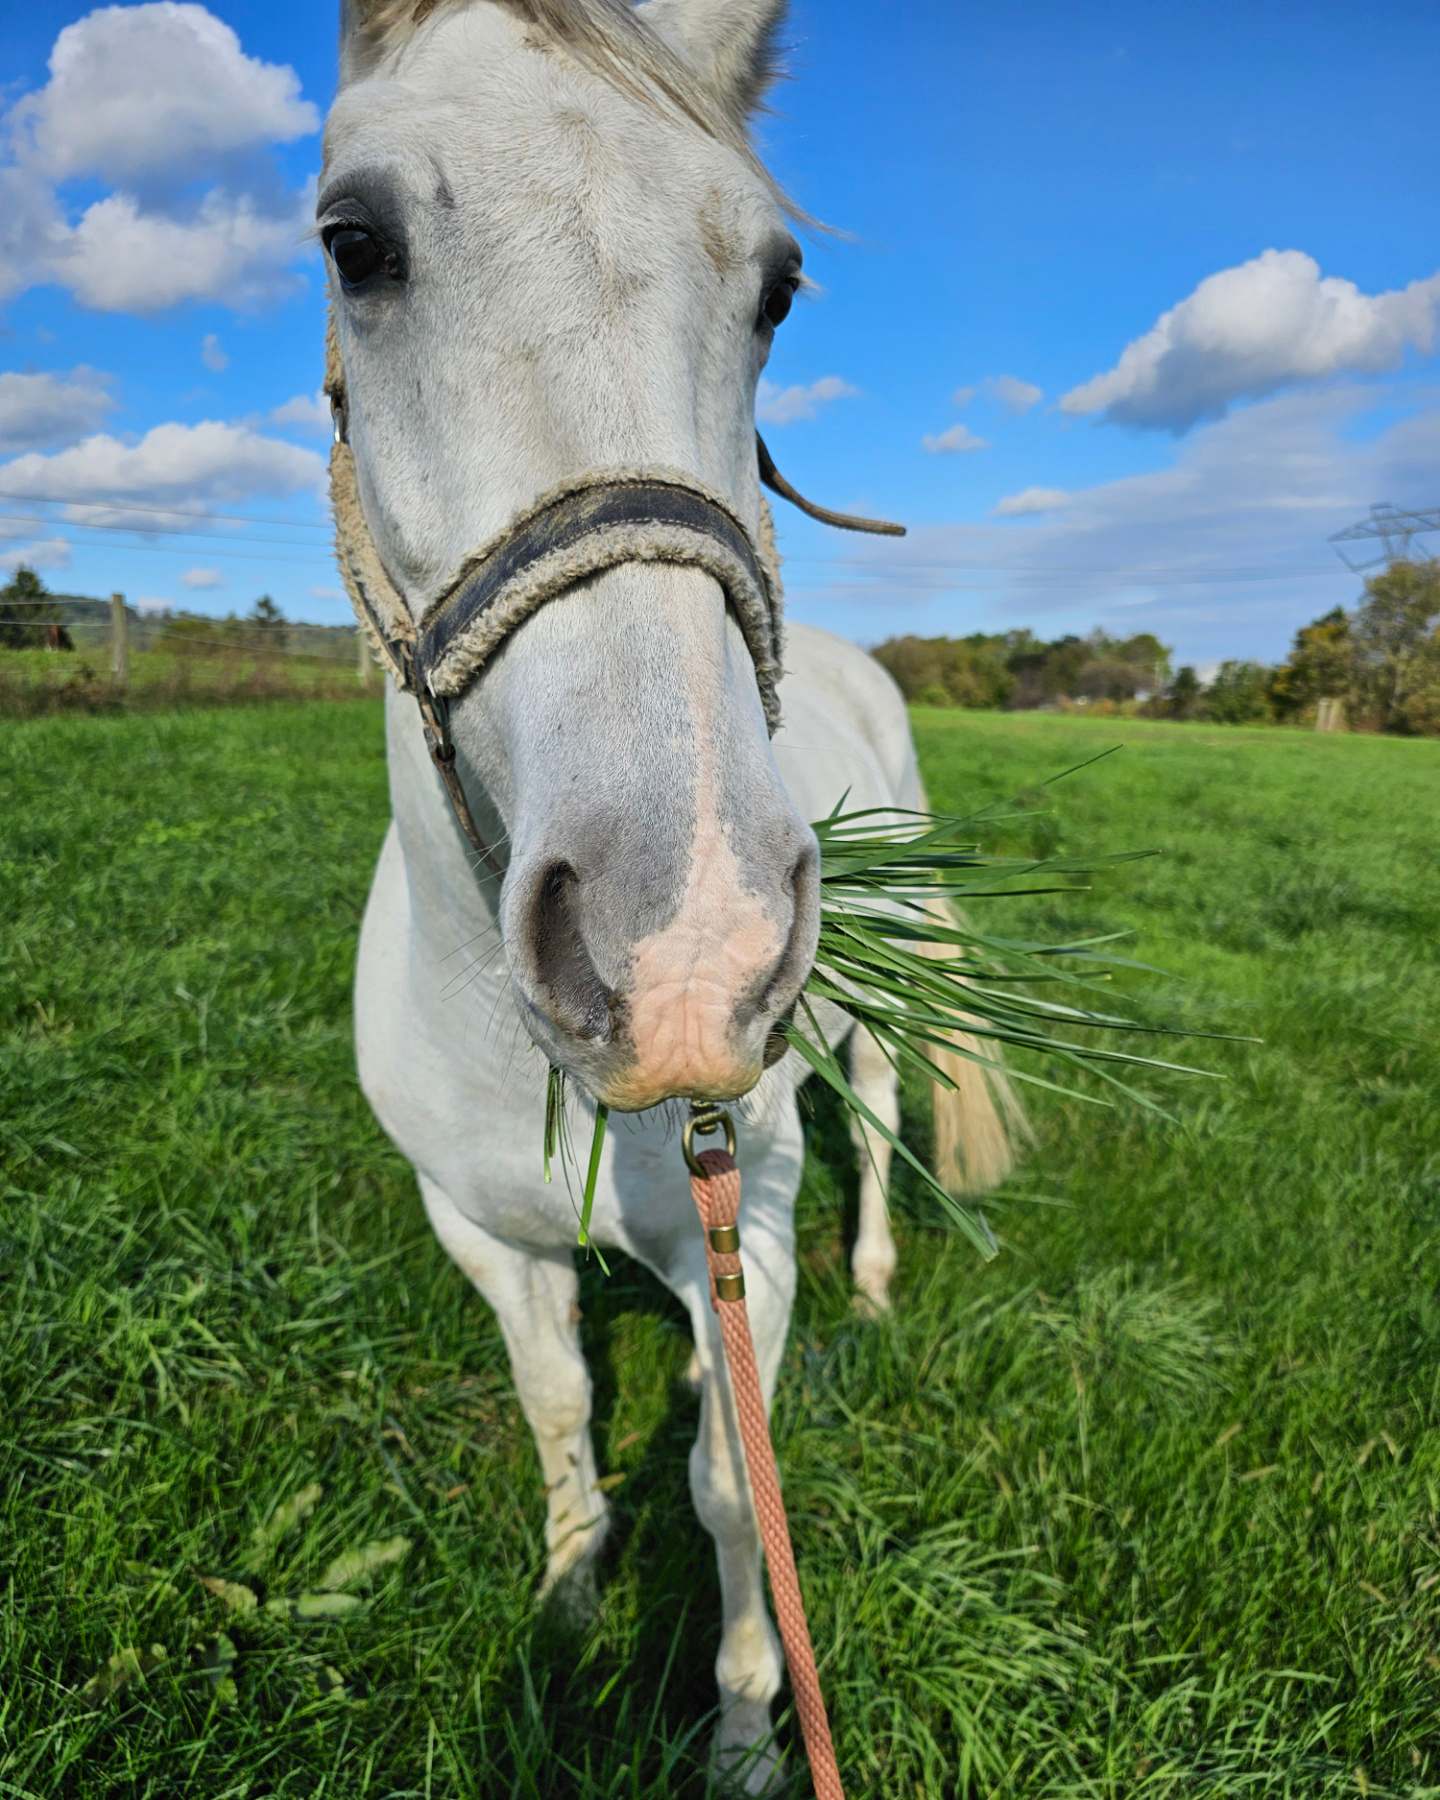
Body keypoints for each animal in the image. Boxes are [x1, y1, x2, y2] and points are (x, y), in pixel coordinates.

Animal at [327, 0, 1023, 1782]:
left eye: (777, 286)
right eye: (354, 243)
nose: (684, 946)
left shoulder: (743, 1235)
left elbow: (730, 1483)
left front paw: (749, 1732)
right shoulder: (474, 1232)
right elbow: (561, 1410)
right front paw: (571, 1596)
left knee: (883, 1114)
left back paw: (879, 1279)